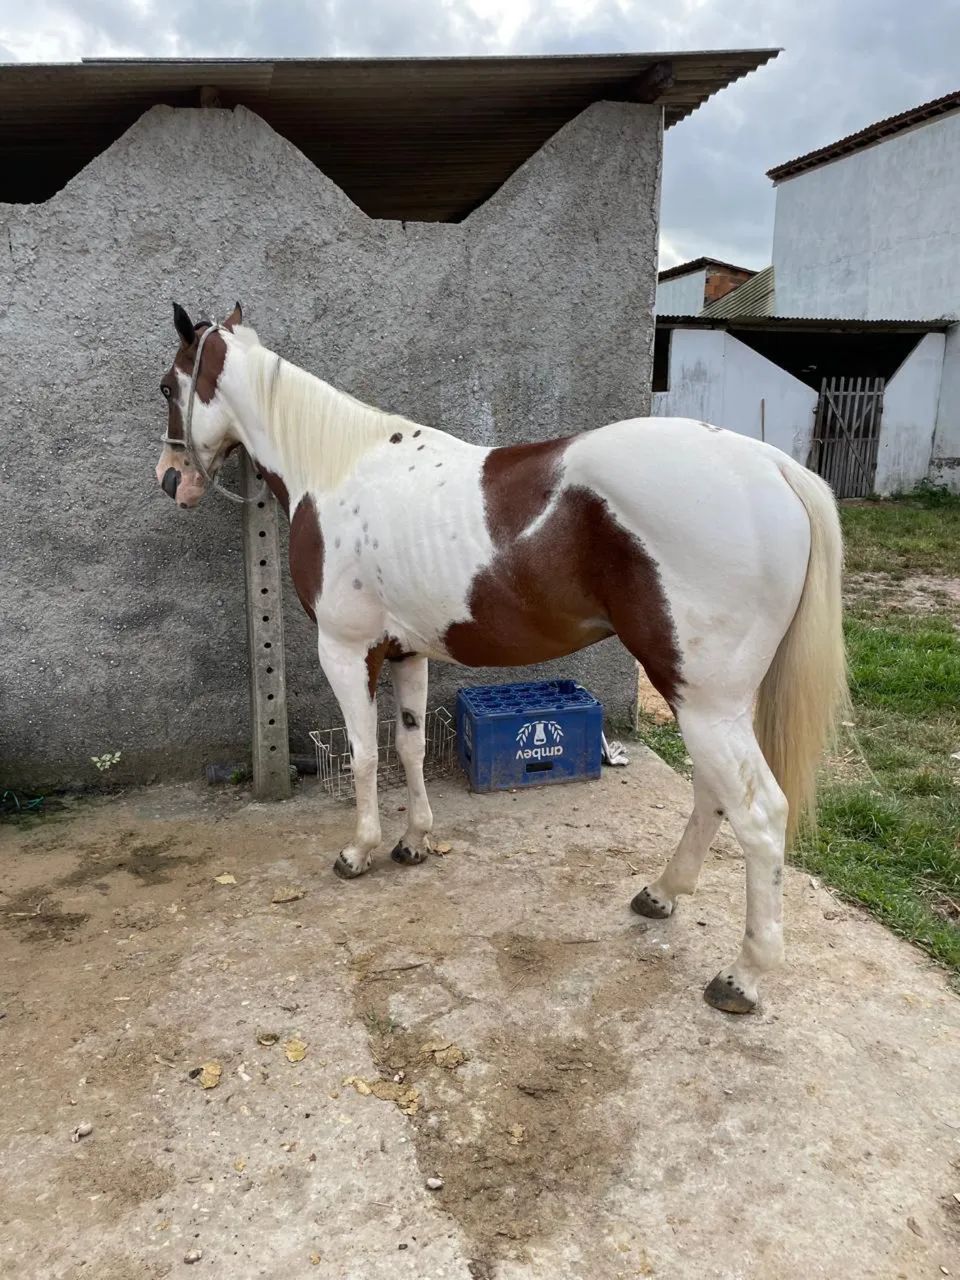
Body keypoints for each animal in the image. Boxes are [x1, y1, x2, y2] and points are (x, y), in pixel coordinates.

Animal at [154, 302, 848, 1014]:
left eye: (166, 386)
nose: (171, 479)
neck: (337, 466)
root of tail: (771, 467)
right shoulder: (407, 652)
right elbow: (407, 747)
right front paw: (413, 842)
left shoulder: (347, 651)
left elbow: (365, 755)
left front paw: (359, 852)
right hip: (715, 702)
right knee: (714, 795)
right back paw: (661, 894)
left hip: (704, 700)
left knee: (759, 815)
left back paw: (741, 976)